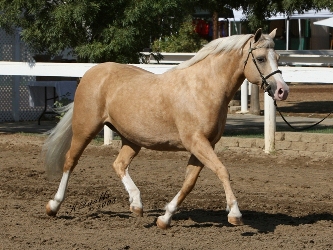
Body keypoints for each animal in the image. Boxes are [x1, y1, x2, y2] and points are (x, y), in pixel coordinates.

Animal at [43, 28, 288, 229]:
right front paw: (235, 213)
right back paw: (54, 205)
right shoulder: (197, 142)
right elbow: (222, 171)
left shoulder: (202, 146)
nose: (282, 91)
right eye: (260, 58)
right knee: (70, 161)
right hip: (85, 129)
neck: (204, 89)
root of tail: (91, 73)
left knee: (119, 164)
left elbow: (189, 182)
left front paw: (165, 218)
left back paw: (136, 205)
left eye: (278, 58)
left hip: (132, 140)